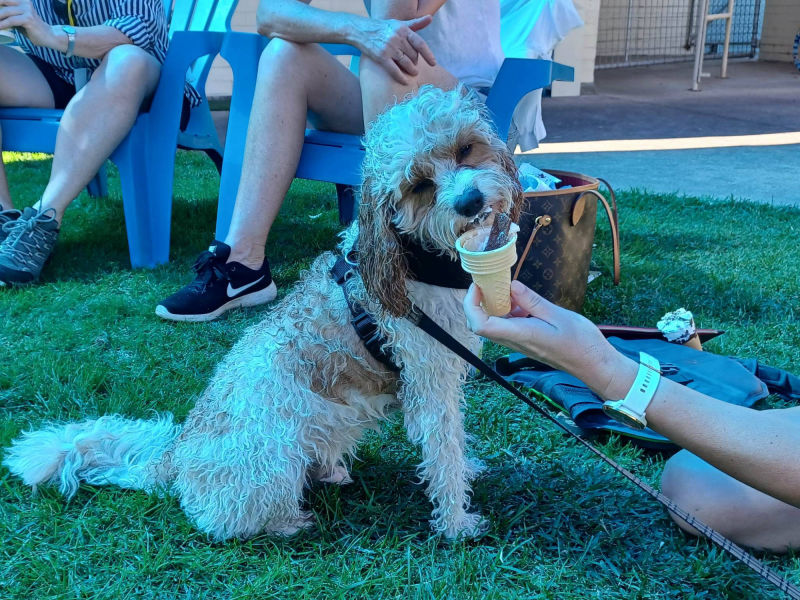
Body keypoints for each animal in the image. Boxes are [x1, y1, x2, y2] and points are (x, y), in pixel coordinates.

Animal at [4, 86, 524, 540]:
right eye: (419, 185)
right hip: (272, 461)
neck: (415, 259)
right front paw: (456, 522)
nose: (470, 201)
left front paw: (467, 474)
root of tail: (176, 454)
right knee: (222, 519)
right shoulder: (429, 381)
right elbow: (443, 451)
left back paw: (330, 471)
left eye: (466, 149)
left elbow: (454, 442)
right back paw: (290, 521)